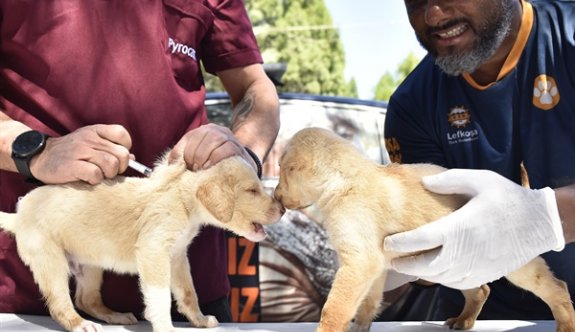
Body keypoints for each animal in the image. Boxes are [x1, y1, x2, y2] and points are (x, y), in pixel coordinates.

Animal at [0, 154, 286, 332]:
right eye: (251, 191)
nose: (283, 209)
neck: (182, 197)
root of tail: (18, 214)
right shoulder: (154, 252)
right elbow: (159, 297)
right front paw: (166, 327)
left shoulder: (177, 257)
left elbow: (188, 293)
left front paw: (200, 320)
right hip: (51, 262)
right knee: (61, 304)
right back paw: (80, 324)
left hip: (89, 266)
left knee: (86, 299)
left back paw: (115, 316)